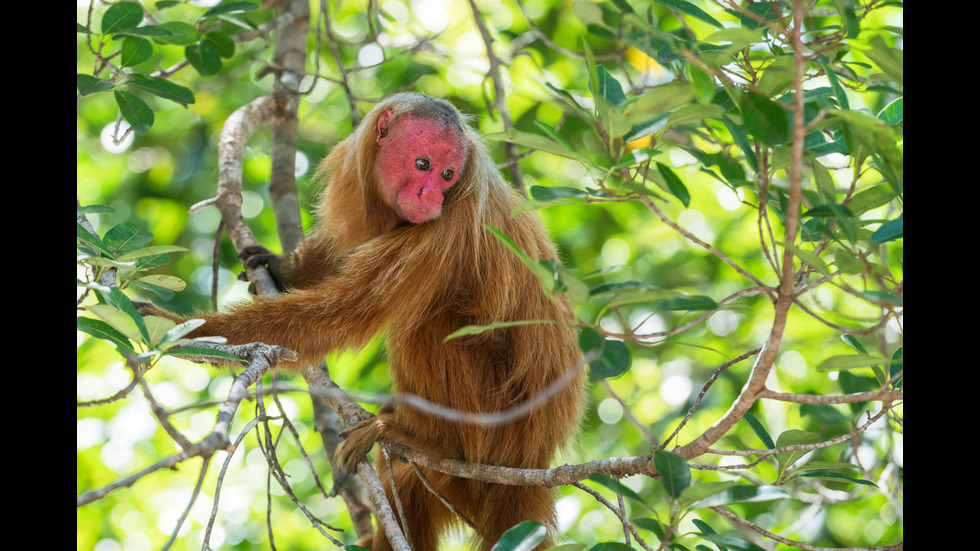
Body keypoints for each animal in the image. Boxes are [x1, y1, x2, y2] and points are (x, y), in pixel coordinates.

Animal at [143, 94, 584, 551]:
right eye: (423, 165)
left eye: (448, 175)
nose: (431, 196)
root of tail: (533, 459)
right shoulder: (356, 173)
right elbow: (339, 256)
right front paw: (281, 269)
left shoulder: (447, 227)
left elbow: (340, 315)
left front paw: (179, 331)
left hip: (500, 427)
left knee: (430, 320)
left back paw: (434, 441)